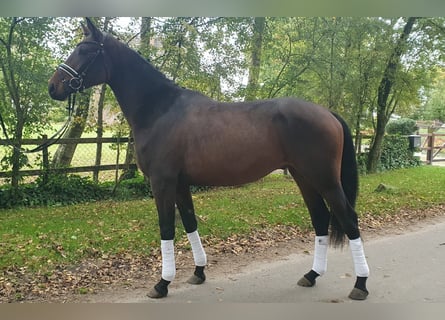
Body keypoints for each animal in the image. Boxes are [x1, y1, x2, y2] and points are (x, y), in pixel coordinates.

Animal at [47, 18, 368, 302]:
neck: (160, 109)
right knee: (321, 219)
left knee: (349, 219)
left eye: (85, 50)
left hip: (325, 180)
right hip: (304, 178)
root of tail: (328, 113)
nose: (53, 87)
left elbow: (167, 228)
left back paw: (360, 285)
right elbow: (190, 223)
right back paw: (311, 275)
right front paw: (198, 272)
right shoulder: (180, 184)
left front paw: (162, 283)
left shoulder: (162, 183)